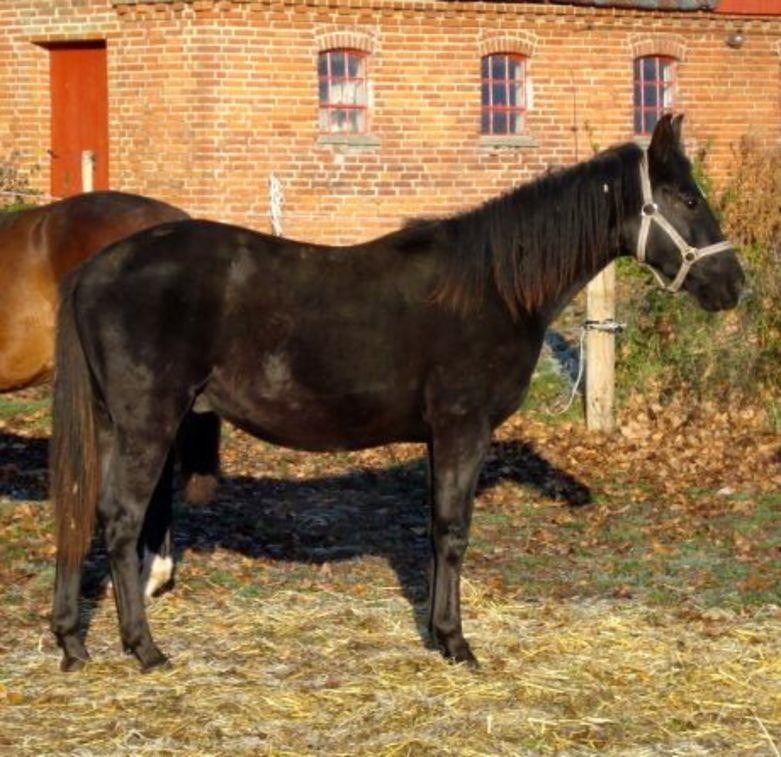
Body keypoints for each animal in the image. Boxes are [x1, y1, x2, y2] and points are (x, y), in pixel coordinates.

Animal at [48, 115, 744, 672]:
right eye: (685, 196)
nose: (734, 283)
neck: (494, 288)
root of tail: (92, 269)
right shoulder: (464, 428)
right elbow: (453, 532)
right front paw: (457, 643)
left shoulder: (443, 436)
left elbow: (436, 533)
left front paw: (439, 635)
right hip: (147, 425)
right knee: (121, 521)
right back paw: (143, 648)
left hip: (111, 425)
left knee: (83, 510)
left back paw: (71, 641)